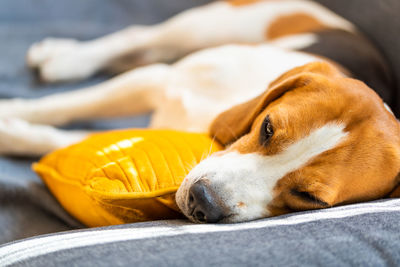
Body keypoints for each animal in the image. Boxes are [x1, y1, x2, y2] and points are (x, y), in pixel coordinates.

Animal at [0, 0, 400, 224]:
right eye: (268, 128)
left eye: (310, 199)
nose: (202, 203)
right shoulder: (157, 81)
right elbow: (59, 108)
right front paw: (10, 115)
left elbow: (59, 138)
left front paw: (14, 132)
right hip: (208, 25)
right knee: (139, 38)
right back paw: (62, 58)